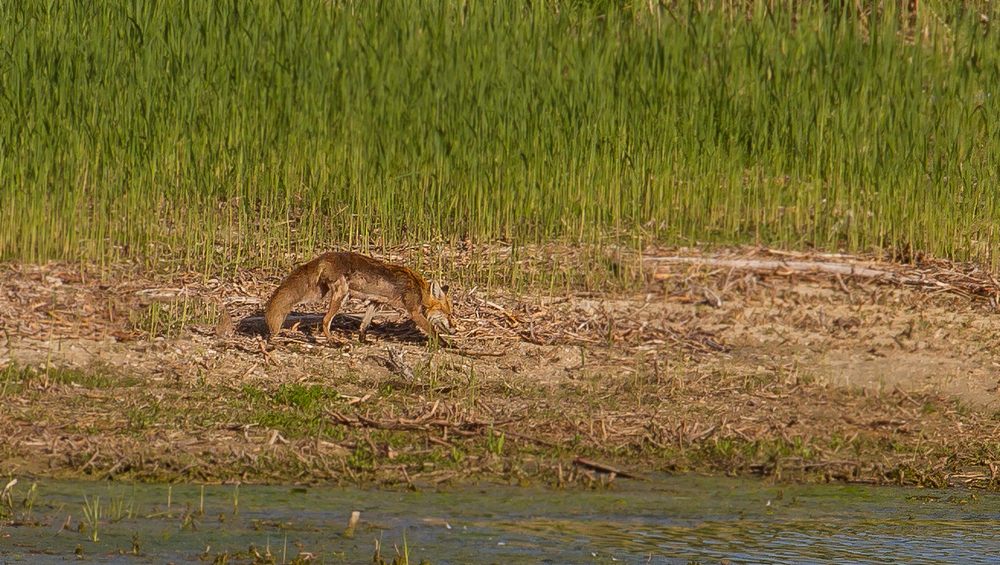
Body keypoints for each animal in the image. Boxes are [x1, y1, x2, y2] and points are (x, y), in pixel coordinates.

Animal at [264, 252, 456, 342]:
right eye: (449, 314)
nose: (455, 329)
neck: (419, 289)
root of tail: (324, 257)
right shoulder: (415, 312)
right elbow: (434, 331)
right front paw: (448, 345)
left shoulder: (375, 302)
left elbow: (364, 324)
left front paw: (363, 340)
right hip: (341, 295)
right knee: (325, 320)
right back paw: (333, 342)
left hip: (316, 294)